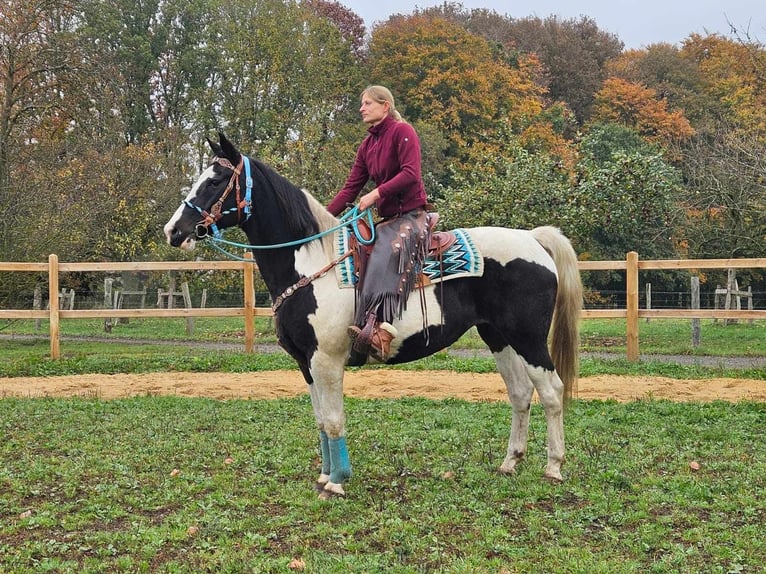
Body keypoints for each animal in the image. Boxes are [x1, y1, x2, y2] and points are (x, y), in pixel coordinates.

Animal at [164, 132, 584, 500]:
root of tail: (532, 239)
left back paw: (553, 467)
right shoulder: (306, 363)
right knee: (520, 393)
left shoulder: (327, 360)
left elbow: (334, 420)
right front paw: (324, 476)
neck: (311, 264)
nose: (173, 231)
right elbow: (321, 420)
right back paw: (510, 463)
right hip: (498, 337)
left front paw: (337, 482)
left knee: (551, 391)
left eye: (214, 180)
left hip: (528, 339)